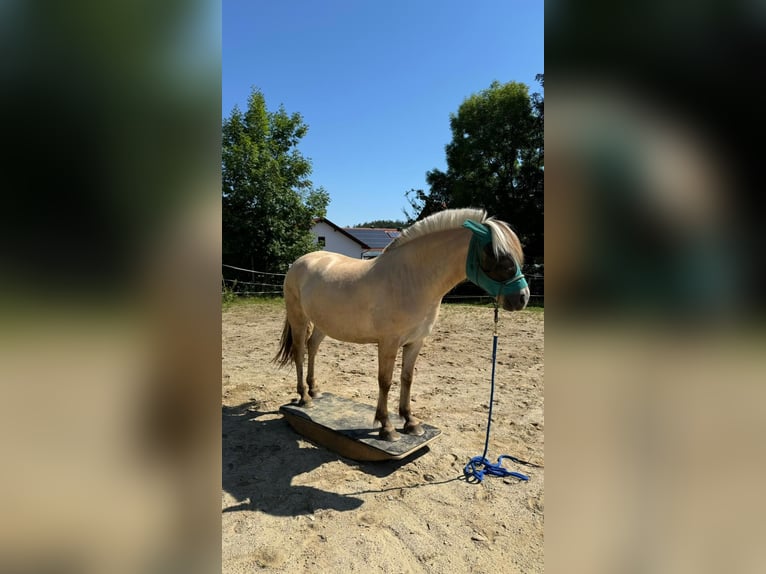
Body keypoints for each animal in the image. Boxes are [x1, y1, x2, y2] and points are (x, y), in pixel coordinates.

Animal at [272, 209, 532, 444]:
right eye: (496, 255)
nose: (522, 297)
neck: (410, 278)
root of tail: (300, 262)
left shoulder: (415, 342)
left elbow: (407, 378)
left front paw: (410, 422)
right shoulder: (388, 343)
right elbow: (385, 381)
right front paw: (386, 427)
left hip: (322, 323)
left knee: (312, 347)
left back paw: (314, 389)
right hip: (298, 318)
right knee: (299, 352)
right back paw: (304, 398)